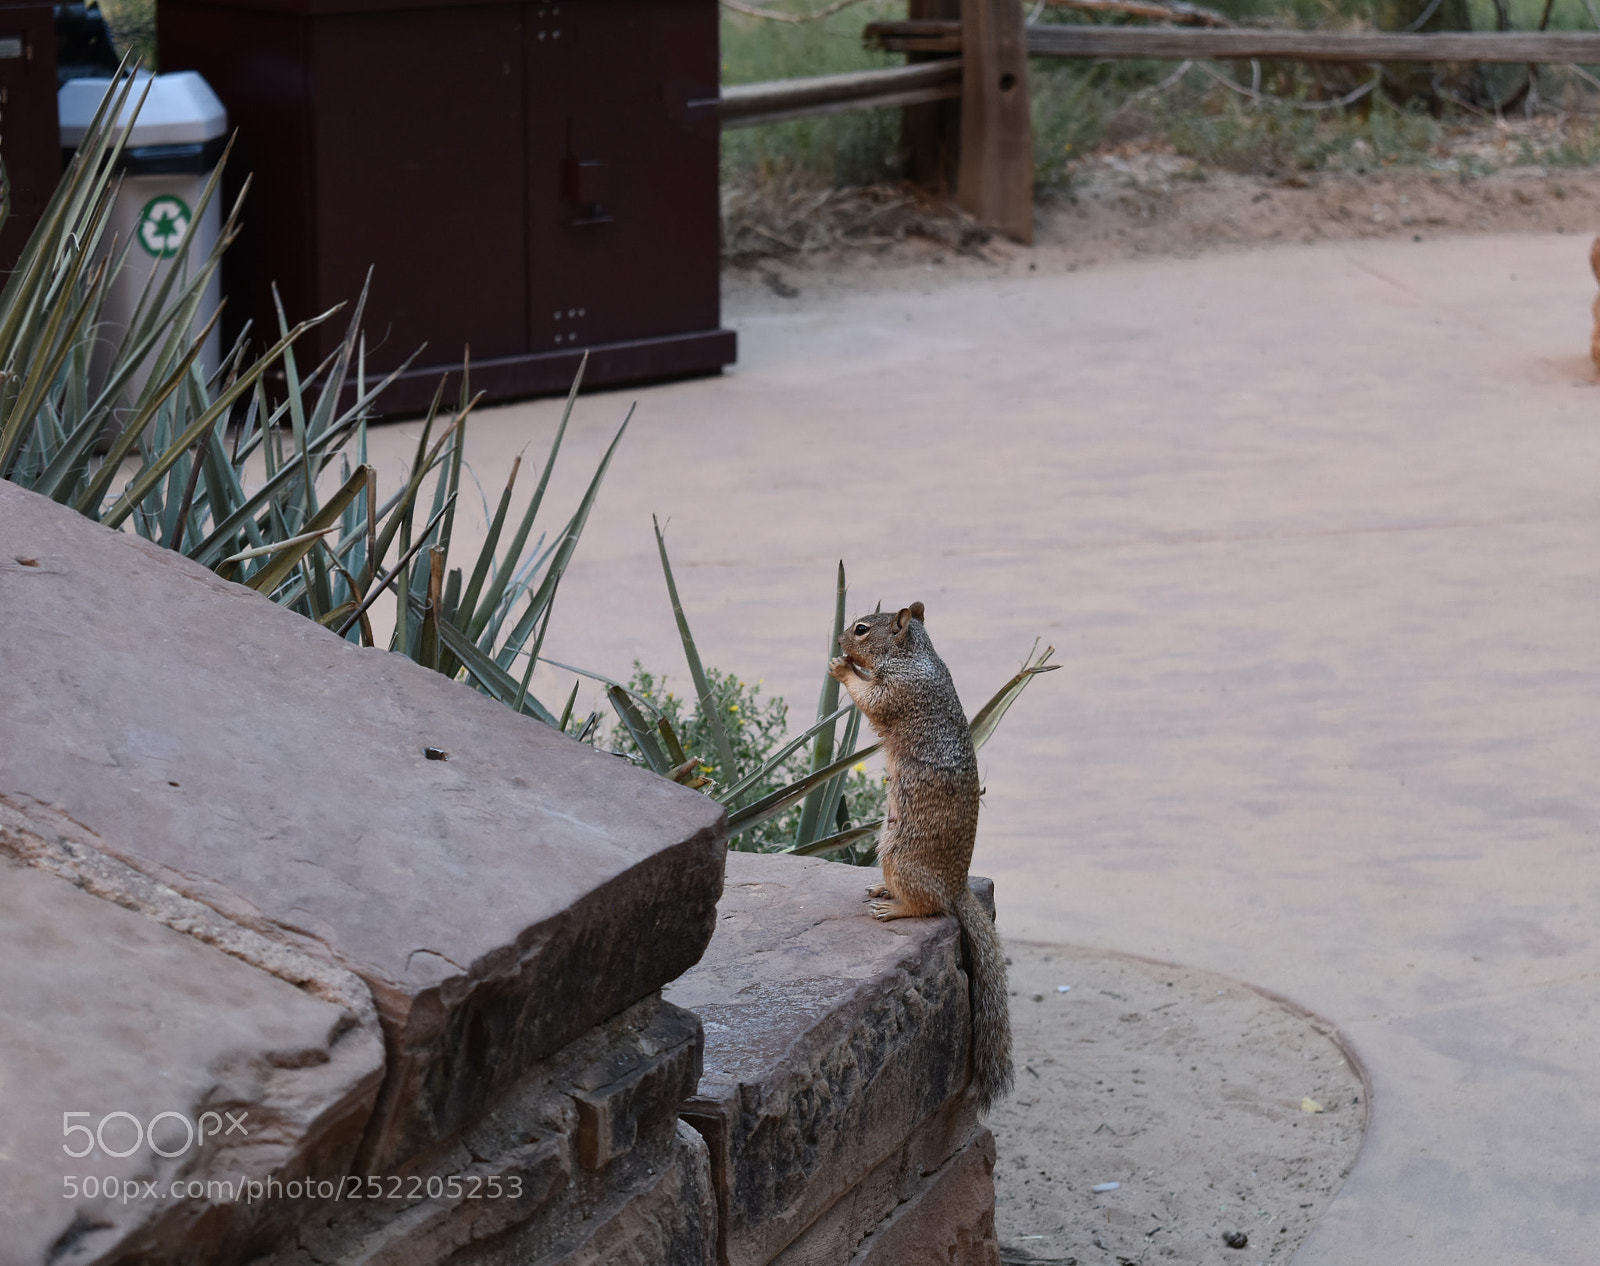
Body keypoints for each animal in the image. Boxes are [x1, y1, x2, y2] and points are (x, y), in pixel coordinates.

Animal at [829, 601, 1014, 1113]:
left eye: (861, 628)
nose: (838, 639)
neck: (915, 655)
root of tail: (956, 886)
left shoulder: (898, 691)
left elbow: (871, 697)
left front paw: (841, 668)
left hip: (899, 855)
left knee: (929, 907)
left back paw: (893, 907)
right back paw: (879, 888)